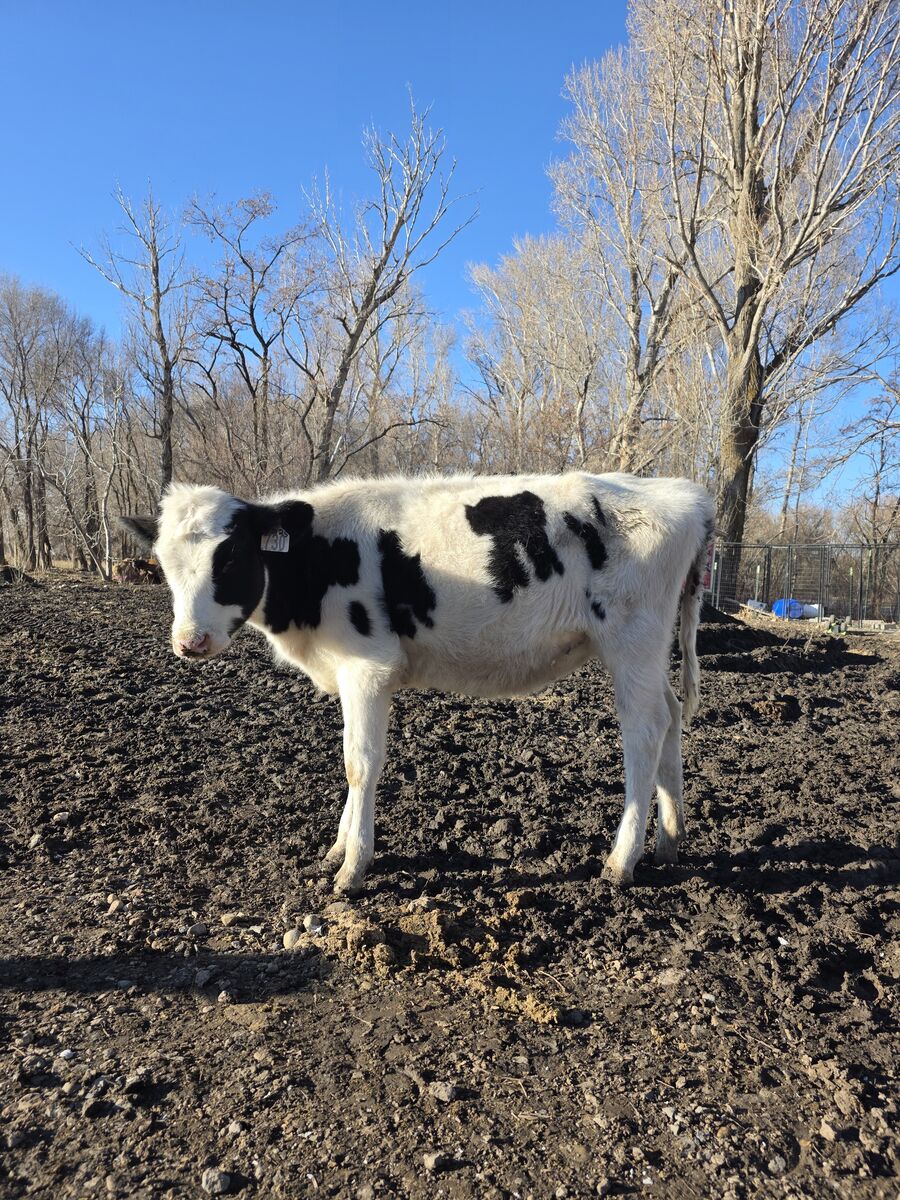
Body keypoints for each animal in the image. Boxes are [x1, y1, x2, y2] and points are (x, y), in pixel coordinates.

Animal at [123, 472, 715, 895]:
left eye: (231, 556)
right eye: (164, 563)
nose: (190, 641)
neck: (319, 558)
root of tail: (681, 493)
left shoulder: (368, 667)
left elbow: (359, 763)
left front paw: (353, 868)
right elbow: (351, 760)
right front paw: (337, 849)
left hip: (631, 641)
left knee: (644, 732)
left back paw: (621, 860)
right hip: (648, 652)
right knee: (668, 720)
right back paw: (670, 840)